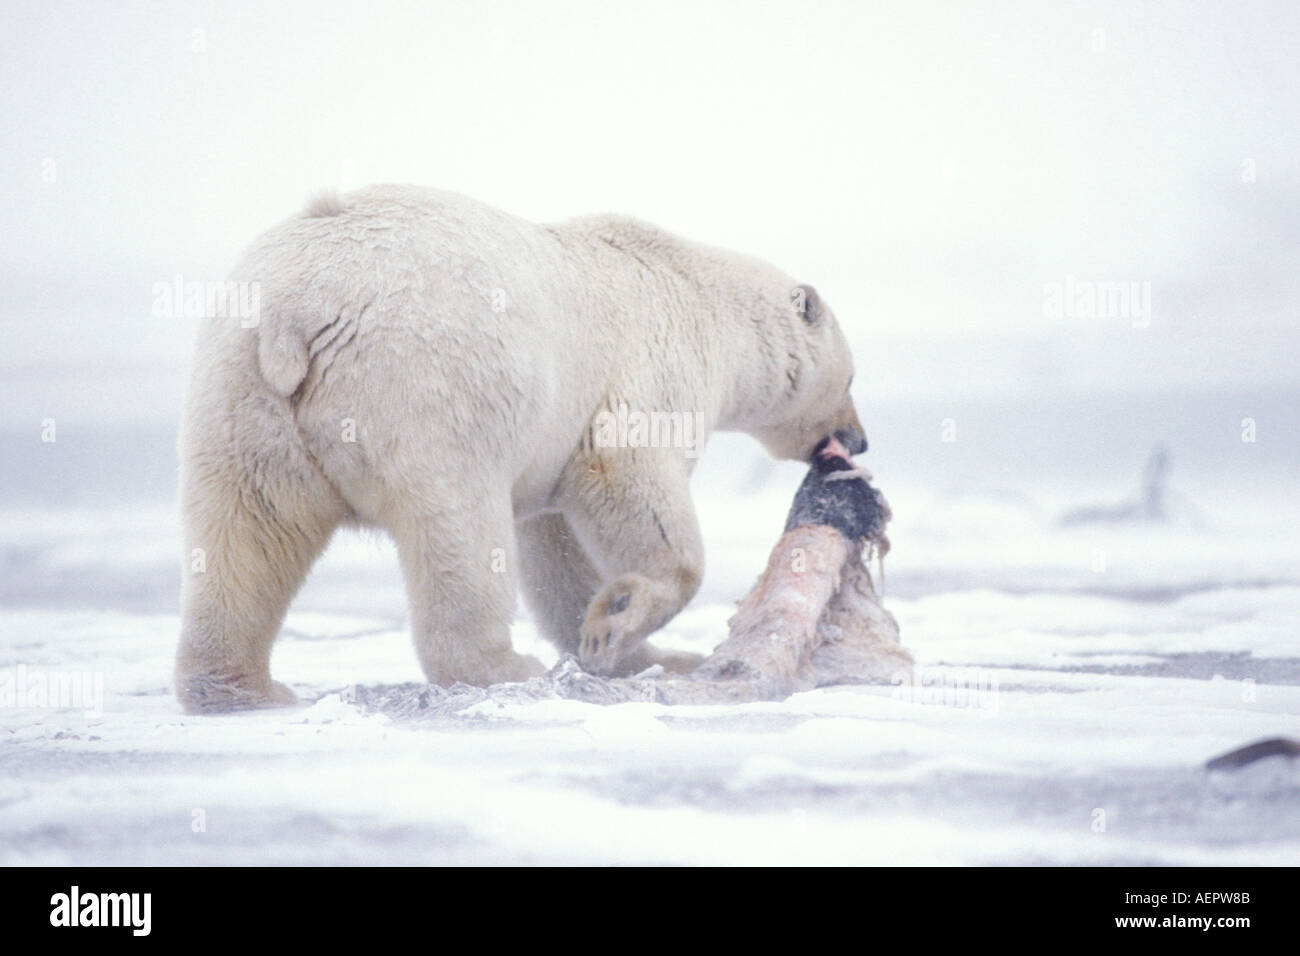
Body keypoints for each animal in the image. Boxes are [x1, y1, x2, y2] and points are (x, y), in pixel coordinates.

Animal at [172, 184, 863, 712]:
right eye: (852, 379)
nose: (859, 438)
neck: (697, 294)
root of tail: (296, 310)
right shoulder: (644, 377)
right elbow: (633, 482)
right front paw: (627, 619)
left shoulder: (552, 451)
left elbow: (556, 550)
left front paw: (624, 647)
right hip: (427, 393)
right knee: (459, 534)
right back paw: (505, 667)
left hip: (240, 397)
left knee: (247, 535)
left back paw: (240, 687)